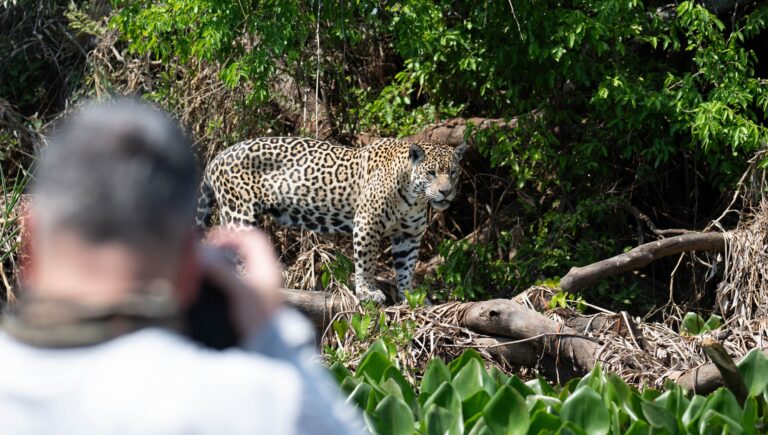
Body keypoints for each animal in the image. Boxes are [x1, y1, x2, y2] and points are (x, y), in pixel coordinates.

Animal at [195, 136, 467, 304]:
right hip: (240, 213)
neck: (414, 196)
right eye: (431, 173)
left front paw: (409, 295)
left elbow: (407, 266)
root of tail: (217, 158)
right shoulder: (367, 222)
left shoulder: (408, 235)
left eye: (453, 172)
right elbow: (366, 262)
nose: (446, 192)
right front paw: (368, 292)